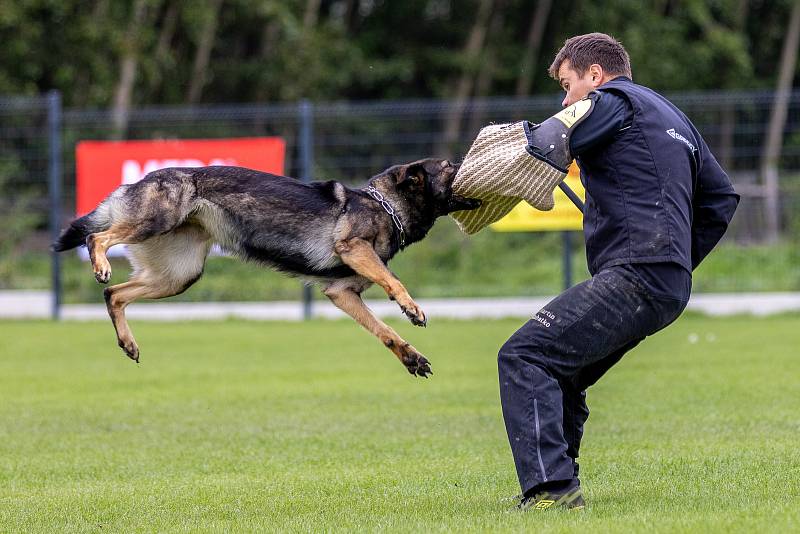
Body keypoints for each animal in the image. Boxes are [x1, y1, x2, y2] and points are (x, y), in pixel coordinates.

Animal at [56, 159, 484, 376]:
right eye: (450, 166)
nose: (471, 159)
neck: (386, 204)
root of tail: (143, 178)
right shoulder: (354, 249)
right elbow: (393, 280)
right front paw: (411, 308)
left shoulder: (342, 293)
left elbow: (384, 332)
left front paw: (412, 358)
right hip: (157, 222)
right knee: (97, 241)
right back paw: (100, 265)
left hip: (178, 276)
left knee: (114, 295)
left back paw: (128, 342)